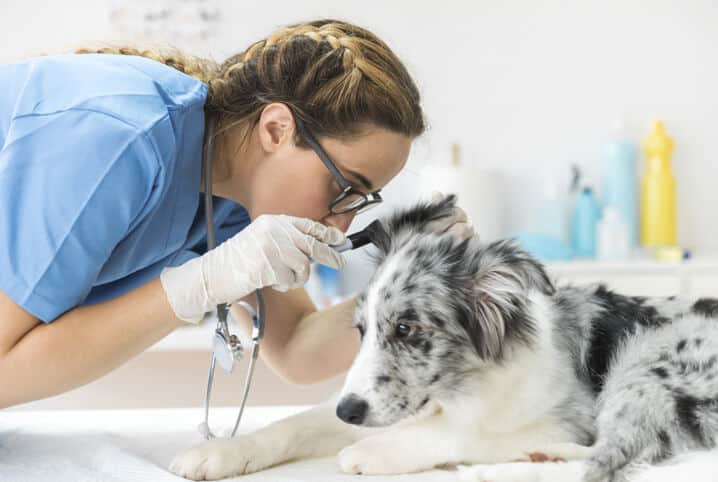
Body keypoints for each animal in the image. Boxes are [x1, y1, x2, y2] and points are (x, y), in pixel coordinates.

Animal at [170, 194, 718, 480]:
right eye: (361, 330)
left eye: (406, 328)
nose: (349, 413)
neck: (461, 387)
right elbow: (291, 425)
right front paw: (218, 452)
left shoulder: (567, 417)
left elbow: (462, 433)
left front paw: (374, 452)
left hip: (645, 365)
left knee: (615, 457)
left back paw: (522, 465)